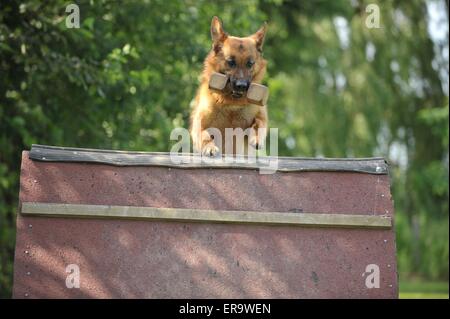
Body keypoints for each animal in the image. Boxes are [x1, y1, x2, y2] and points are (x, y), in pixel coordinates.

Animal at [190, 16, 268, 157]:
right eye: (231, 62)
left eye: (250, 63)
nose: (241, 86)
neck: (232, 104)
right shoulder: (199, 124)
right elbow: (204, 134)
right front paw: (209, 147)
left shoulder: (261, 117)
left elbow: (259, 124)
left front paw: (257, 138)